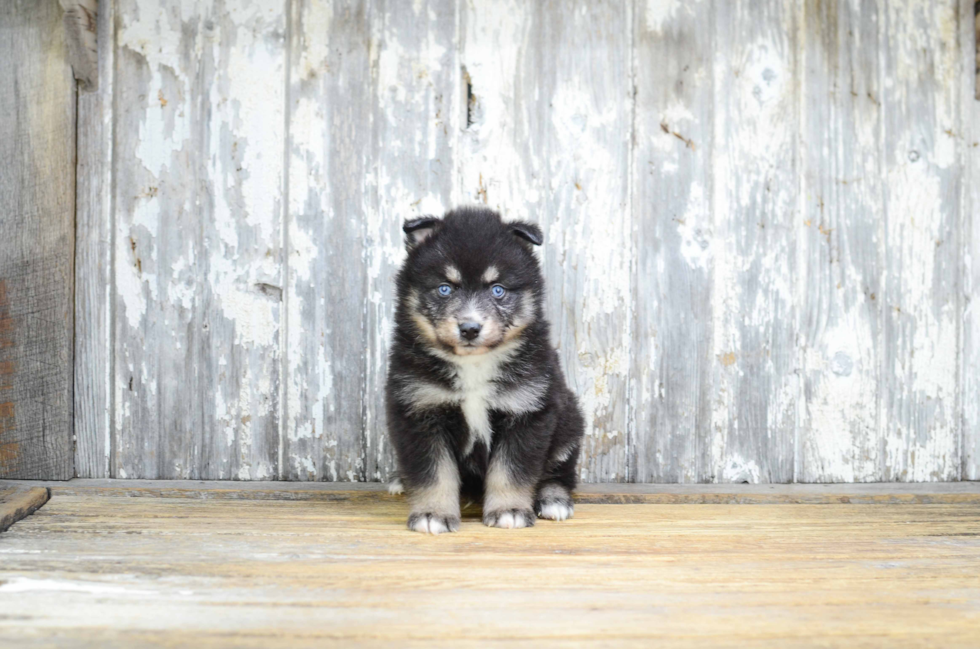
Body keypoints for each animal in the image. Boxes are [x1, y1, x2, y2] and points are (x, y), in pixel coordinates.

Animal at [384, 206, 584, 532]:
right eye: (445, 289)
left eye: (498, 290)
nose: (469, 328)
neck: (474, 364)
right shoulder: (421, 410)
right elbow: (433, 473)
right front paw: (432, 514)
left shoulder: (527, 410)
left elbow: (511, 470)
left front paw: (509, 510)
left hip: (569, 423)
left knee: (559, 472)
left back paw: (554, 499)